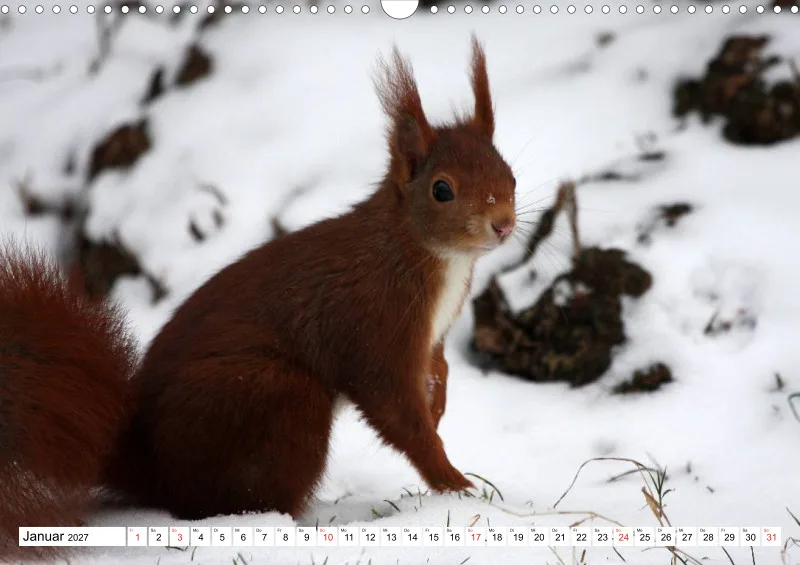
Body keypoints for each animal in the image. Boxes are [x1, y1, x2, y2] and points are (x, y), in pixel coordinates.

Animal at [0, 36, 516, 555]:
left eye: (509, 174)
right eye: (442, 190)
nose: (503, 224)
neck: (425, 252)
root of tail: (152, 464)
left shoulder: (431, 335)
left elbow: (436, 369)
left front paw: (438, 402)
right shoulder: (372, 322)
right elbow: (396, 410)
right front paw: (454, 482)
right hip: (272, 399)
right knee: (237, 499)